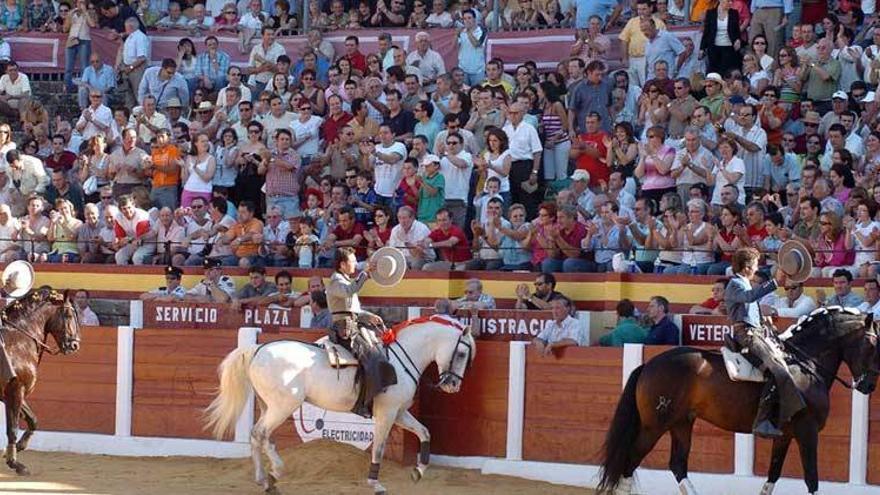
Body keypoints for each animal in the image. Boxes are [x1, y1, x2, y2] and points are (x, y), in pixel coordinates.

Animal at [0, 290, 81, 476]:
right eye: (68, 314)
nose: (74, 344)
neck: (19, 341)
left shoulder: (13, 393)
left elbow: (32, 420)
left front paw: (15, 449)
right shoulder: (15, 390)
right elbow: (13, 428)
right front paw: (15, 463)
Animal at [204, 318, 478, 495]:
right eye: (462, 354)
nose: (452, 385)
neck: (402, 356)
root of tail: (258, 348)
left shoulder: (400, 412)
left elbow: (424, 432)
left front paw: (418, 471)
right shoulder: (386, 412)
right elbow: (379, 448)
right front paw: (376, 484)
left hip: (267, 405)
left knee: (258, 436)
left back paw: (264, 479)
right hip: (283, 406)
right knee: (261, 433)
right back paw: (275, 473)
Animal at [600, 310, 880, 495]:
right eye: (872, 344)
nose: (868, 386)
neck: (806, 364)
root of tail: (648, 364)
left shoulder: (785, 435)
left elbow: (773, 475)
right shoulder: (807, 431)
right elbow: (812, 479)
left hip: (681, 423)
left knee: (677, 464)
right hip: (653, 426)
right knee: (629, 463)